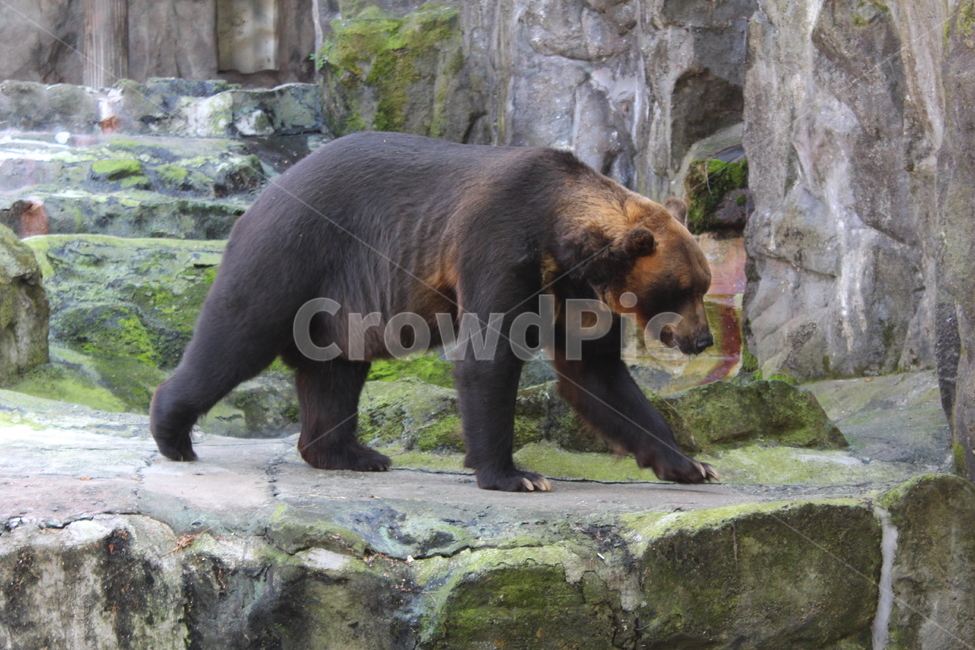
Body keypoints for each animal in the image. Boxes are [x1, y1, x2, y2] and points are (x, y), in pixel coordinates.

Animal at [150, 131, 718, 492]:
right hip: (293, 251)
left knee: (334, 371)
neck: (564, 241)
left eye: (702, 286)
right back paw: (172, 432)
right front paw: (517, 475)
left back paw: (351, 454)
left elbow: (599, 378)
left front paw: (691, 464)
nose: (703, 339)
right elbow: (488, 357)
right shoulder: (500, 246)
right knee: (236, 337)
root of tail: (266, 192)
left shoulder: (573, 295)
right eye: (681, 289)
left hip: (339, 302)